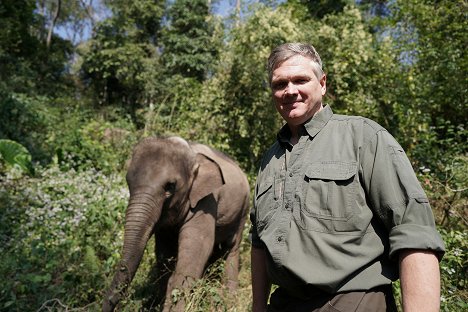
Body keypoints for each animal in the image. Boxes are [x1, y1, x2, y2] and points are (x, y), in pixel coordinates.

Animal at [101, 137, 249, 312]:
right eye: (128, 182)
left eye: (170, 186)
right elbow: (165, 253)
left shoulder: (206, 200)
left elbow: (197, 249)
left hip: (243, 210)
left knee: (231, 249)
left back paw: (229, 302)